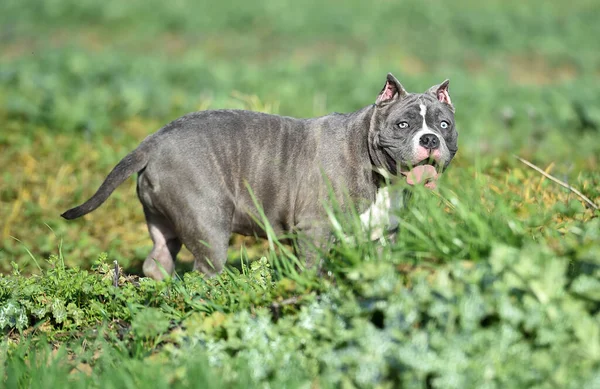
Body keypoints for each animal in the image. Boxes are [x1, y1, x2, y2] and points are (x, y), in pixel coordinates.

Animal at [61, 73, 458, 278]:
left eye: (444, 125)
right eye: (403, 125)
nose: (429, 139)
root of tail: (154, 140)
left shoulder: (383, 237)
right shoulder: (314, 231)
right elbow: (312, 270)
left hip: (164, 221)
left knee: (158, 259)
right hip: (208, 225)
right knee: (205, 269)